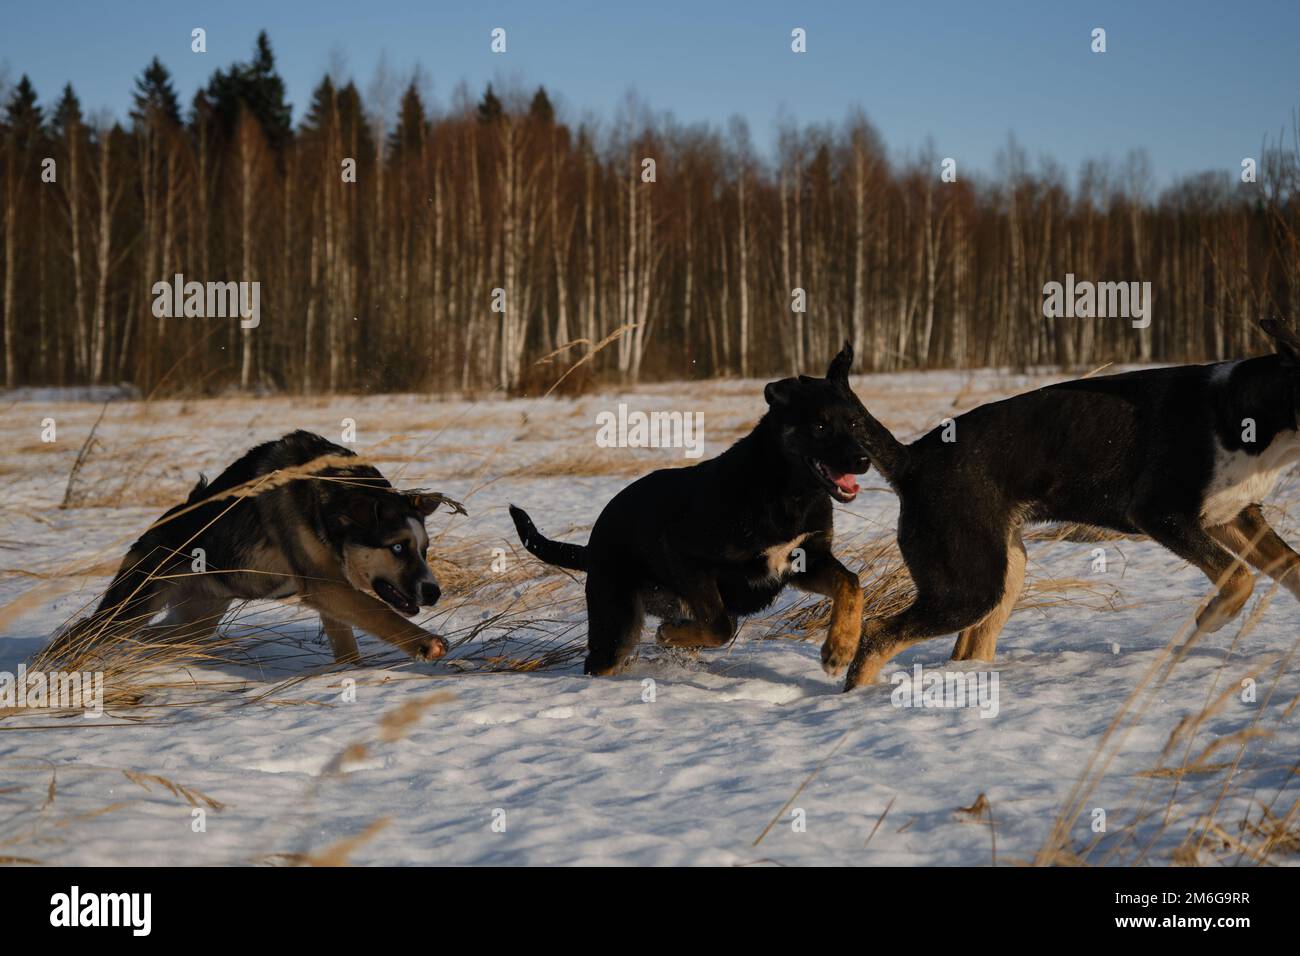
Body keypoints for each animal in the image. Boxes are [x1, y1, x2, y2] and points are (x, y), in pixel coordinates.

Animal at [65, 431, 465, 665]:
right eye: (397, 548)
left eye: (424, 550)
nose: (433, 592)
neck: (326, 494)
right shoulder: (326, 585)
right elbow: (381, 614)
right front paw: (426, 643)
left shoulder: (331, 592)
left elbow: (347, 641)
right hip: (134, 603)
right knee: (84, 631)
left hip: (197, 618)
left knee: (151, 637)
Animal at [509, 343, 873, 671]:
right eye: (820, 426)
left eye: (855, 423)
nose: (864, 461)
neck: (788, 492)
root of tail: (592, 545)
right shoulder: (688, 556)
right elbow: (720, 625)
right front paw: (670, 634)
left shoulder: (808, 559)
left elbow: (851, 584)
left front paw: (840, 648)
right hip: (614, 624)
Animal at [837, 317, 1300, 691]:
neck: (1245, 414)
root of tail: (911, 459)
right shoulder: (1161, 513)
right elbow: (1238, 578)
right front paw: (1211, 619)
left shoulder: (1235, 517)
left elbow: (1289, 566)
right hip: (968, 587)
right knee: (879, 633)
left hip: (1004, 572)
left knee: (968, 646)